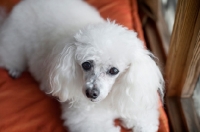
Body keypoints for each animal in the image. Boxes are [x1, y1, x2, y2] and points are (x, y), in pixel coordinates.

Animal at [0, 0, 164, 132]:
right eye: (86, 65)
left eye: (114, 70)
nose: (91, 93)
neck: (107, 99)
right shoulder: (88, 120)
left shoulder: (135, 102)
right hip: (14, 42)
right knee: (9, 56)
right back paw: (15, 70)